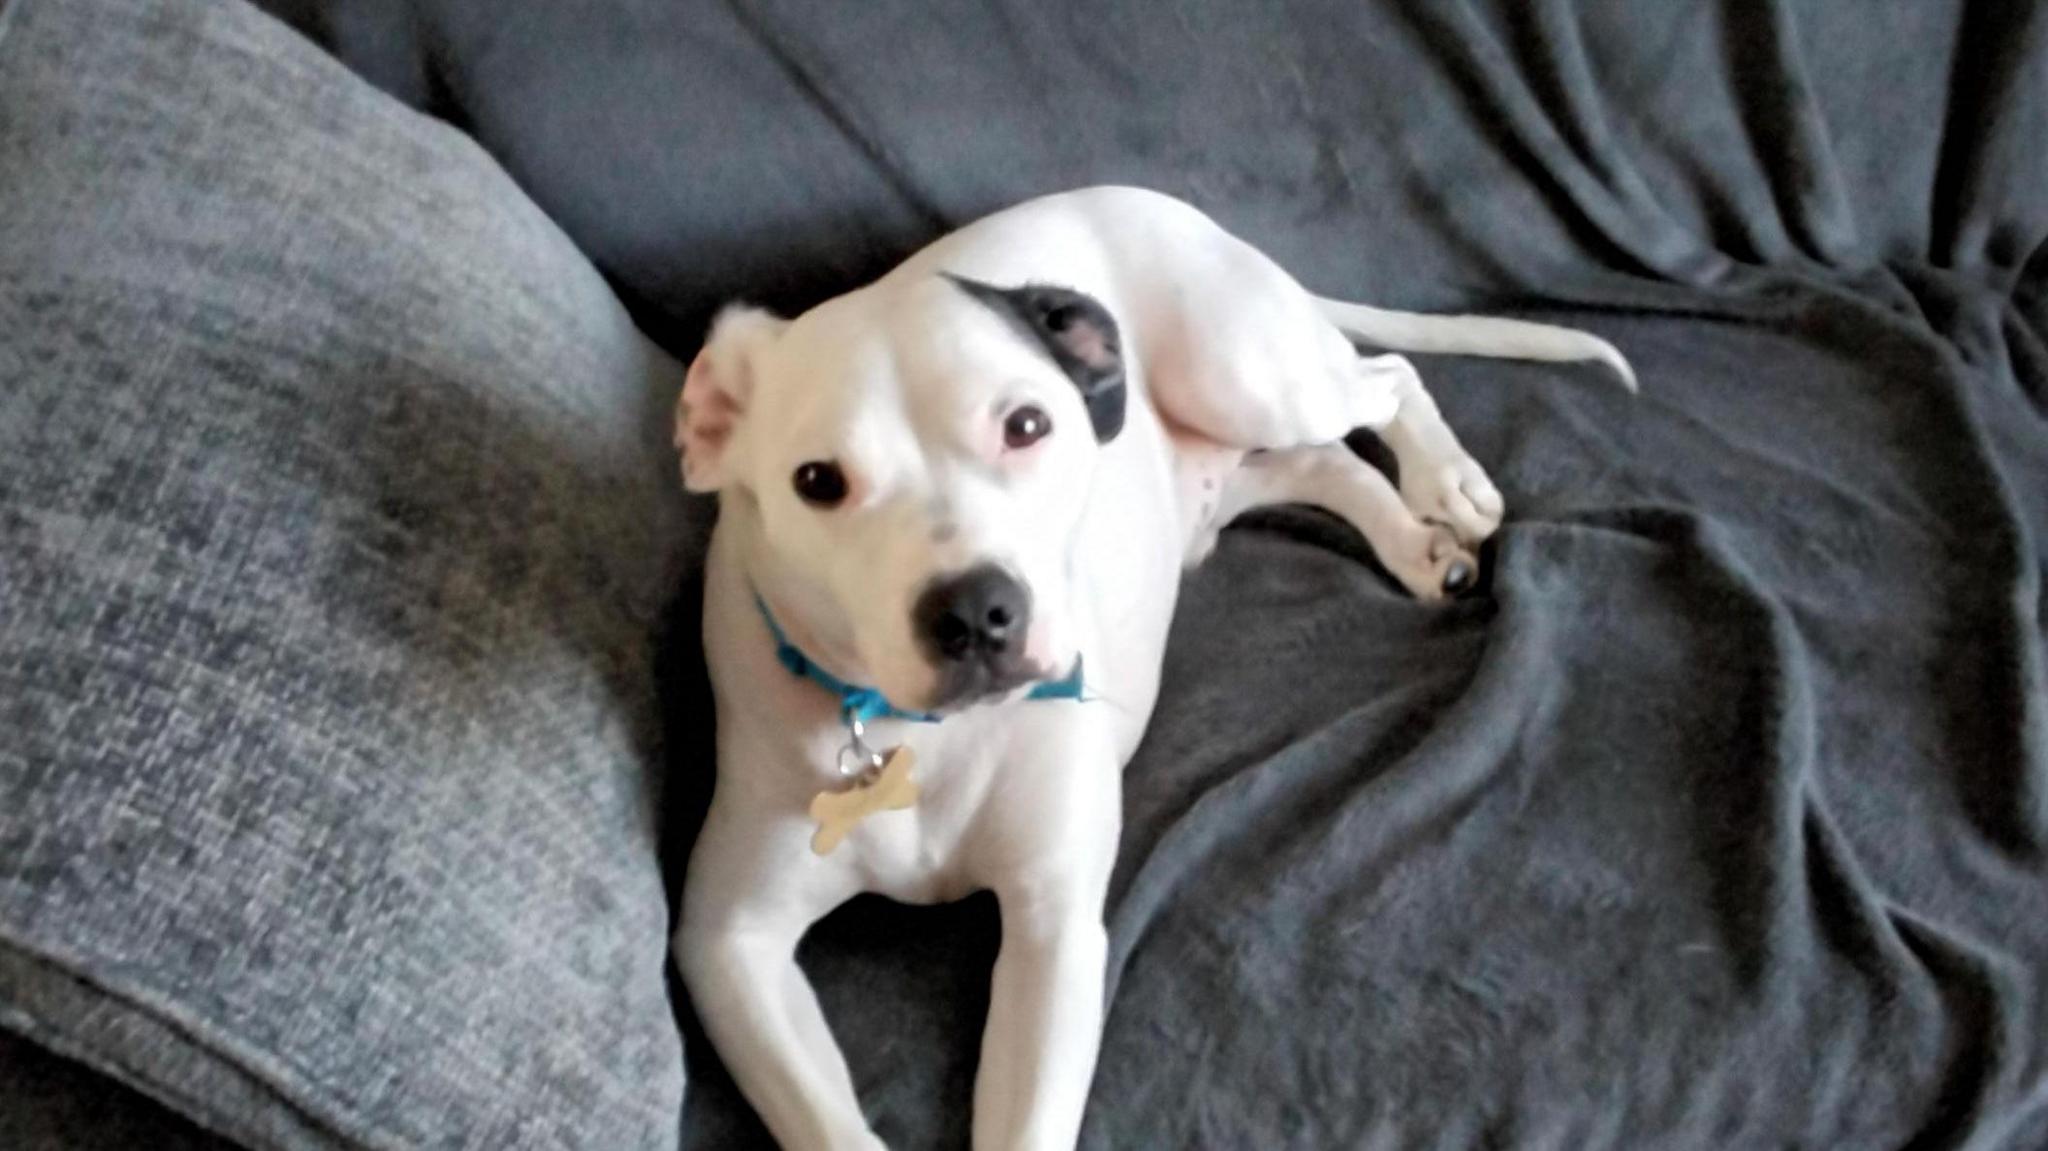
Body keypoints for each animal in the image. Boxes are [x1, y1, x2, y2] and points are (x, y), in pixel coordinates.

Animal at [671, 183, 1630, 1138]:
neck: (922, 736)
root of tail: (1133, 194)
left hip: (1248, 374)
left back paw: (1448, 483)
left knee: (1388, 379)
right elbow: (822, 1119)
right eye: (816, 481)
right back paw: (1417, 544)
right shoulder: (729, 944)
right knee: (1327, 465)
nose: (976, 612)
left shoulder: (1054, 927)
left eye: (1027, 424)